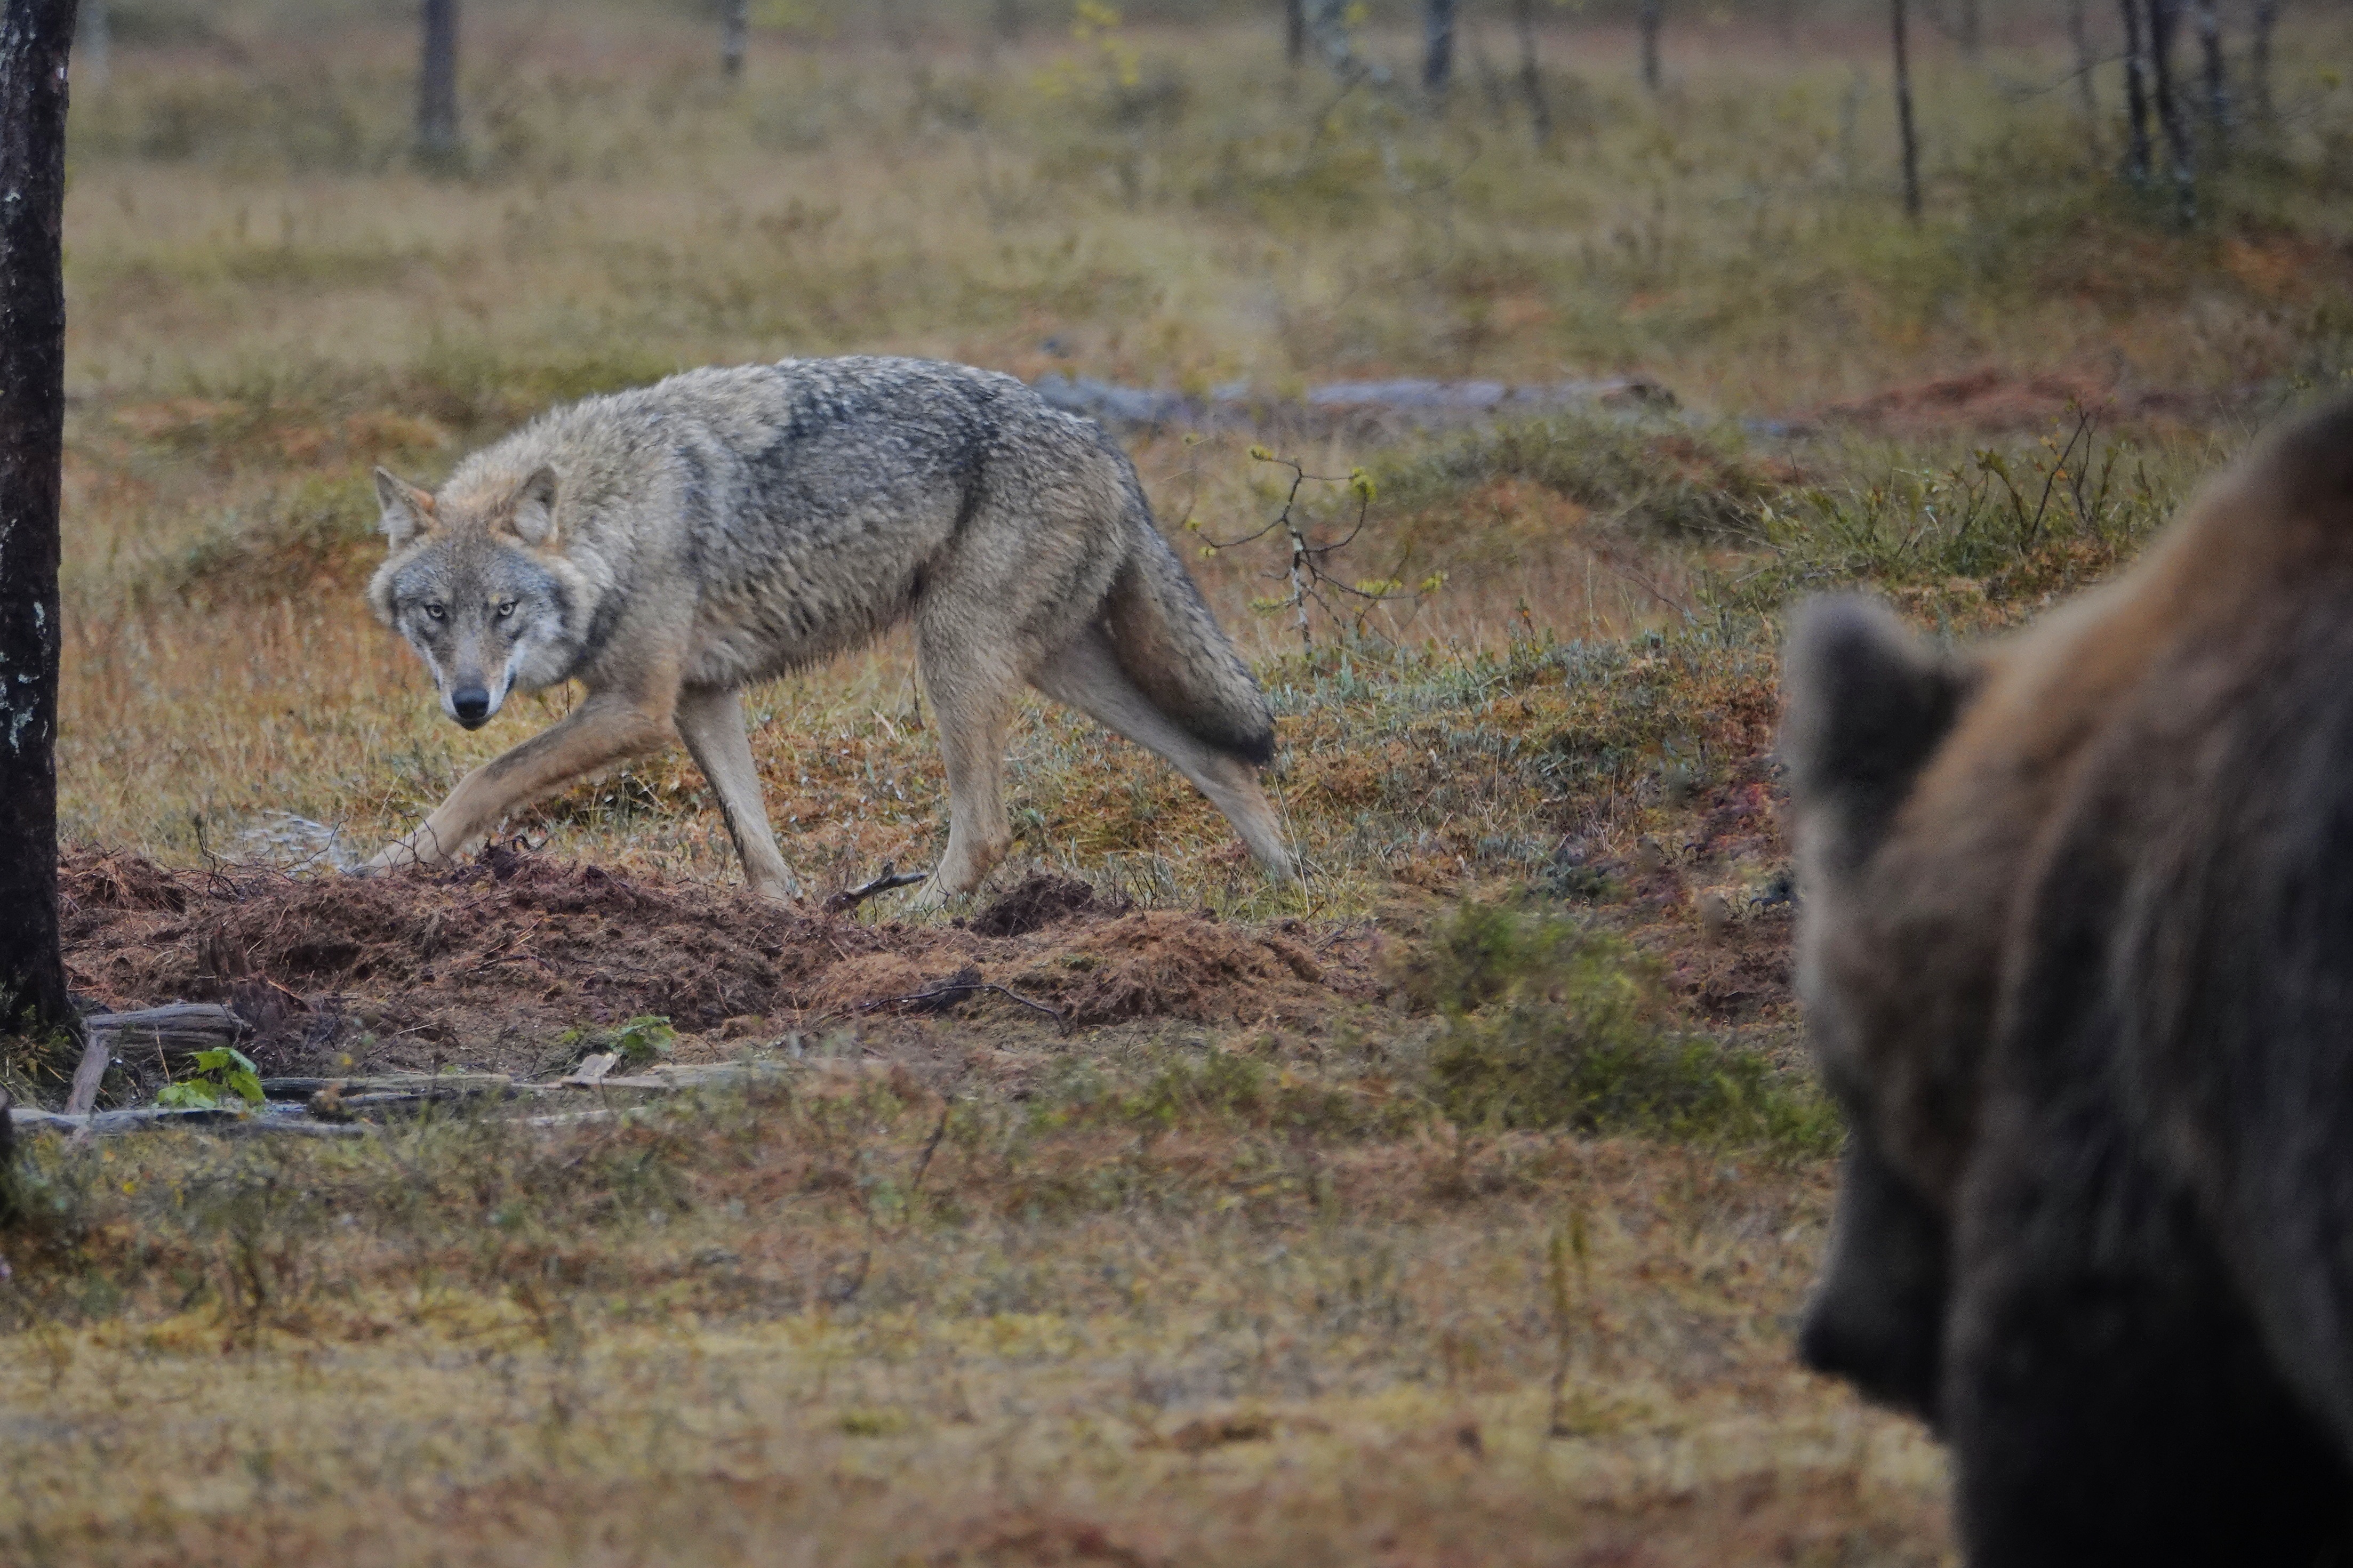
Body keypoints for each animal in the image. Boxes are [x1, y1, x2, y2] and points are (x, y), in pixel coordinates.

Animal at [363, 356, 1295, 907]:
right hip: (1054, 666)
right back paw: (1291, 884)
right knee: (1218, 760)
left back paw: (918, 922)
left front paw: (386, 866)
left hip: (953, 657)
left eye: (504, 610)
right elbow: (755, 843)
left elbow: (483, 779)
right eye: (435, 613)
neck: (615, 514)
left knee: (987, 830)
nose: (470, 702)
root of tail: (1102, 439)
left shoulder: (637, 709)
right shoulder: (701, 700)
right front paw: (783, 926)